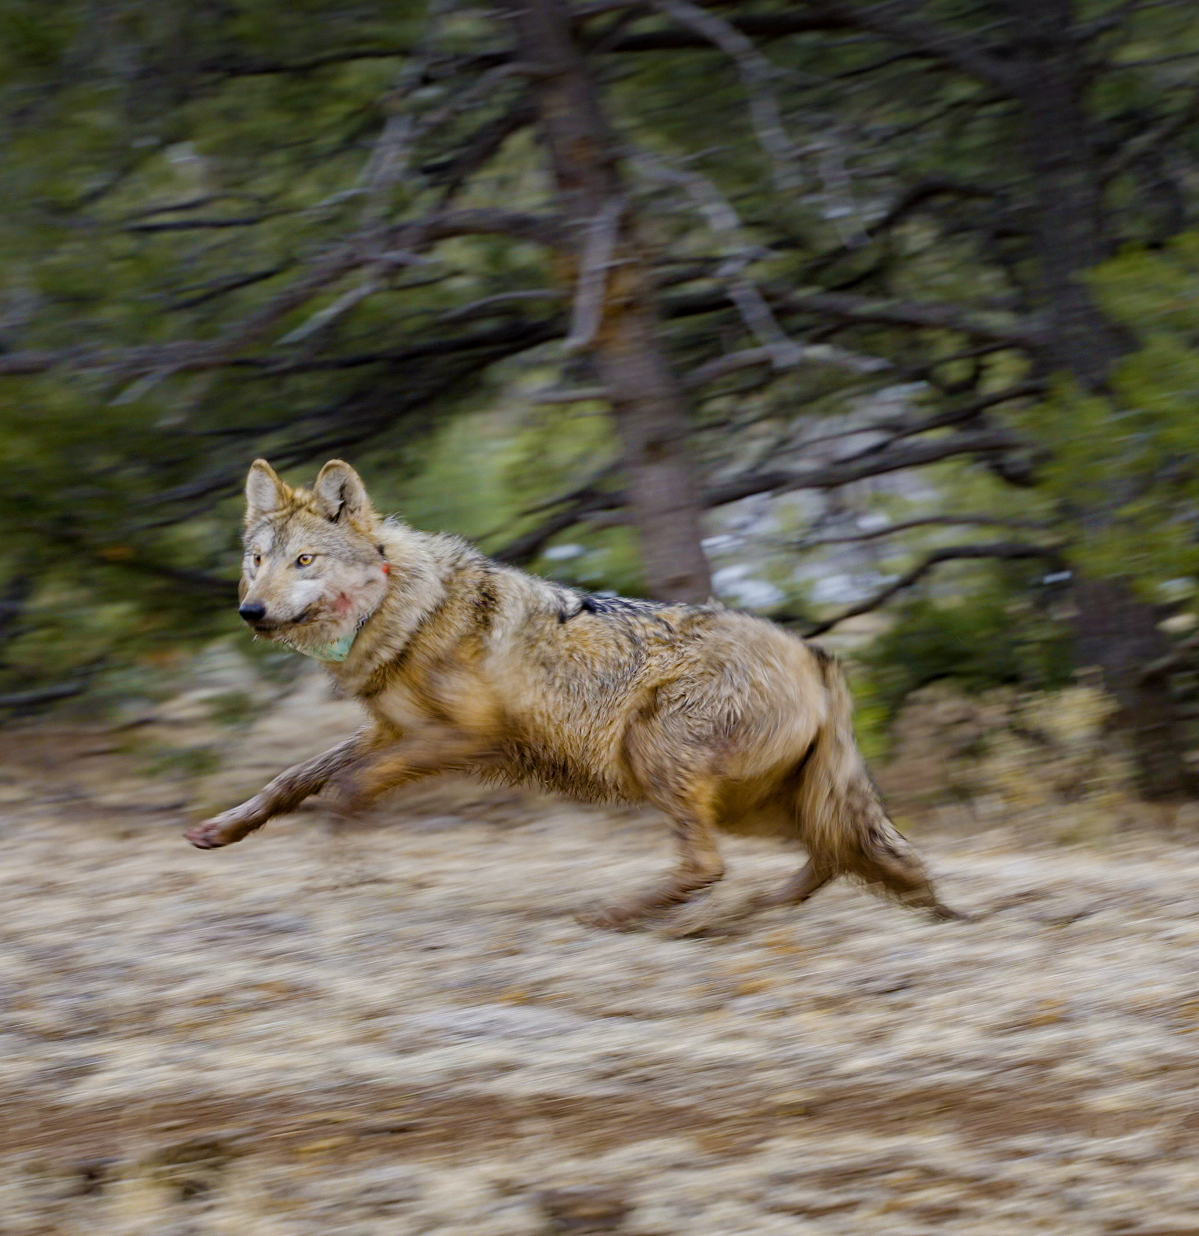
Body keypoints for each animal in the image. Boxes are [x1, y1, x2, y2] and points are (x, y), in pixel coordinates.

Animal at [185, 458, 961, 929]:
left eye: (304, 561)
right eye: (257, 561)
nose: (251, 611)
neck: (406, 611)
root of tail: (816, 654)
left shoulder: (465, 738)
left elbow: (345, 790)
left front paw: (341, 873)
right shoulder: (389, 732)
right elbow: (295, 777)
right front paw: (224, 829)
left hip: (656, 759)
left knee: (716, 865)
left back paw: (620, 914)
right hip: (759, 804)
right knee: (849, 857)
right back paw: (745, 916)